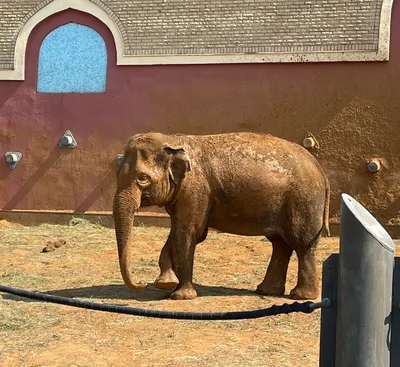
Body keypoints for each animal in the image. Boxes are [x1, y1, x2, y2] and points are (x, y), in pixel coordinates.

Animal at [112, 132, 332, 302]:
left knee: (302, 244)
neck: (174, 140)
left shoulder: (195, 190)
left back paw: (300, 296)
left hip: (303, 200)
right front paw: (166, 283)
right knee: (280, 244)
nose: (141, 283)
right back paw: (266, 291)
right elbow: (181, 232)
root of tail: (319, 168)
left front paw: (179, 296)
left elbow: (188, 233)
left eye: (143, 178)